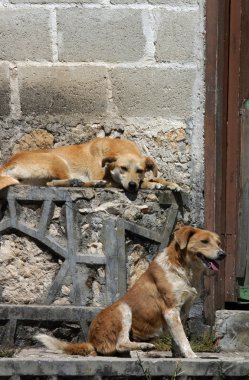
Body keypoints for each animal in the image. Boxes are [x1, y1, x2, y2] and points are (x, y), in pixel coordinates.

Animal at [0, 137, 180, 193]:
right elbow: (145, 182)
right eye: (123, 168)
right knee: (53, 182)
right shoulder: (112, 179)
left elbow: (153, 178)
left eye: (140, 170)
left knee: (49, 183)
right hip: (56, 159)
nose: (131, 185)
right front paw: (152, 184)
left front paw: (170, 184)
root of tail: (7, 164)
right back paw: (85, 183)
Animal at [35, 226, 226, 360]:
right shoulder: (171, 310)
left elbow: (177, 338)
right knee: (120, 344)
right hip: (123, 308)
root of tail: (92, 341)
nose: (223, 254)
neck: (184, 269)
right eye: (204, 241)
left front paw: (179, 355)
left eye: (218, 243)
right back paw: (144, 347)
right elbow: (183, 338)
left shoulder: (183, 310)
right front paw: (191, 355)